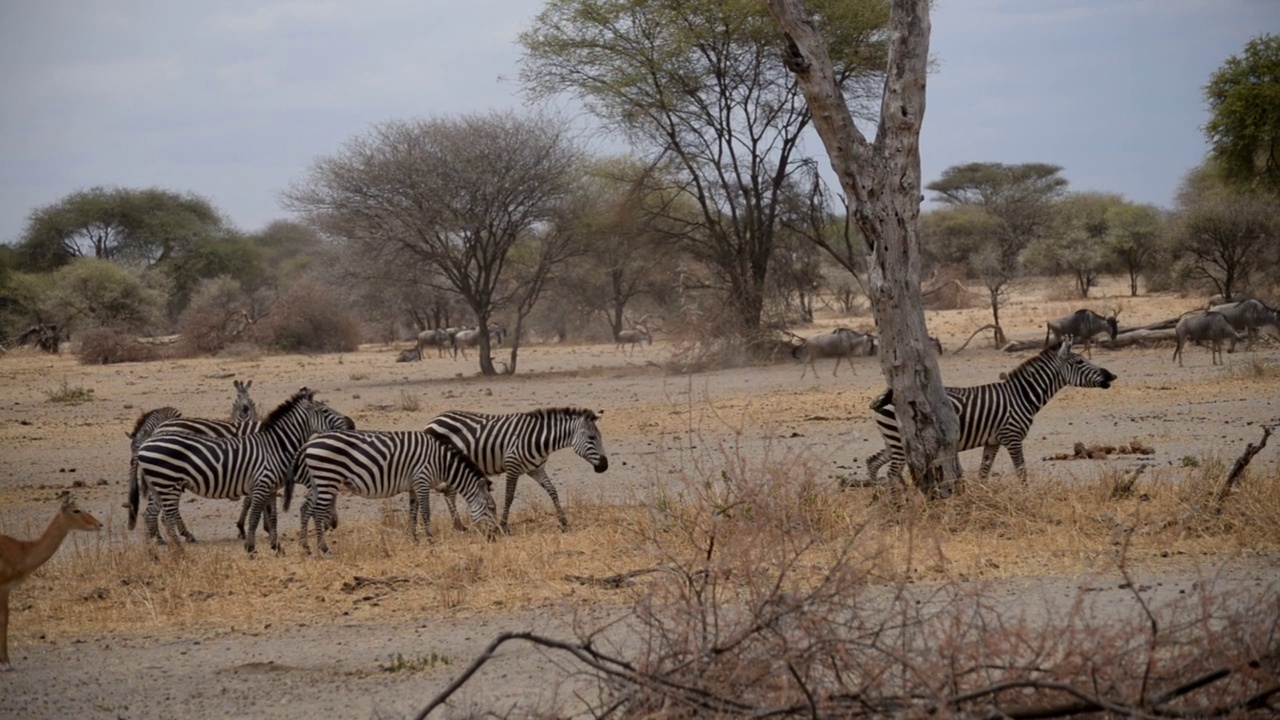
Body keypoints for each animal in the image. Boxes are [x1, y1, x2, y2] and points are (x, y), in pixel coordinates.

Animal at [133, 386, 355, 548]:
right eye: (325, 410)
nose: (351, 425)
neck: (276, 445)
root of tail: (148, 441)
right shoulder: (261, 479)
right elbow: (255, 510)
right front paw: (251, 539)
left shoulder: (264, 482)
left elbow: (269, 513)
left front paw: (270, 540)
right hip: (167, 482)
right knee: (159, 514)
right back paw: (172, 545)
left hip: (163, 484)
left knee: (153, 513)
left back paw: (158, 546)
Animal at [289, 427, 499, 550]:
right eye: (491, 509)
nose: (495, 536)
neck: (442, 463)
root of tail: (310, 441)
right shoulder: (422, 480)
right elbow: (425, 511)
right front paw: (430, 538)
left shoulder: (414, 485)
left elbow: (413, 512)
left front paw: (414, 538)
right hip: (328, 478)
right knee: (317, 511)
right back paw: (323, 547)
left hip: (318, 481)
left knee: (305, 508)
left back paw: (305, 546)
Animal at [424, 407, 609, 530]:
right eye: (591, 438)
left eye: (600, 437)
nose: (604, 466)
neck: (539, 439)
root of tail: (434, 419)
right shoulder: (512, 466)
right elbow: (509, 496)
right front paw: (503, 525)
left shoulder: (536, 469)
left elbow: (552, 491)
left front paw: (563, 522)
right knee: (449, 493)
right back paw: (458, 525)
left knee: (449, 493)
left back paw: (459, 526)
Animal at [860, 338, 1121, 489]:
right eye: (1079, 362)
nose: (1112, 375)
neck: (1022, 395)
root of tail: (888, 392)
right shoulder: (1012, 437)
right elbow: (1022, 472)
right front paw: (1027, 497)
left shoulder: (993, 440)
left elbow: (984, 473)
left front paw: (984, 496)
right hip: (899, 439)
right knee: (890, 472)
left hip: (895, 440)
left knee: (873, 462)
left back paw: (879, 498)